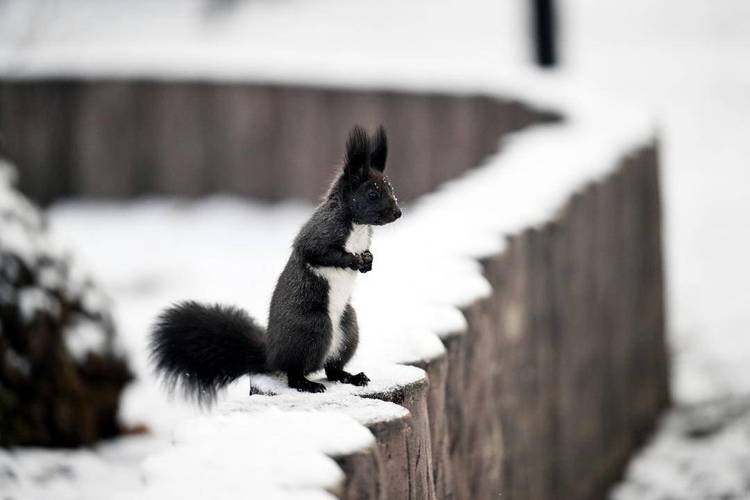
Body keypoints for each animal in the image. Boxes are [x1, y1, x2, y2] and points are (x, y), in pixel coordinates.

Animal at [149, 125, 402, 402]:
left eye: (391, 189)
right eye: (372, 194)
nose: (398, 213)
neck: (357, 225)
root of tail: (272, 355)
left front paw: (368, 261)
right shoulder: (321, 232)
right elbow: (319, 253)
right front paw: (354, 260)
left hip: (349, 328)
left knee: (332, 369)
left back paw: (352, 377)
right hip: (312, 328)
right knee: (294, 372)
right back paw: (307, 383)